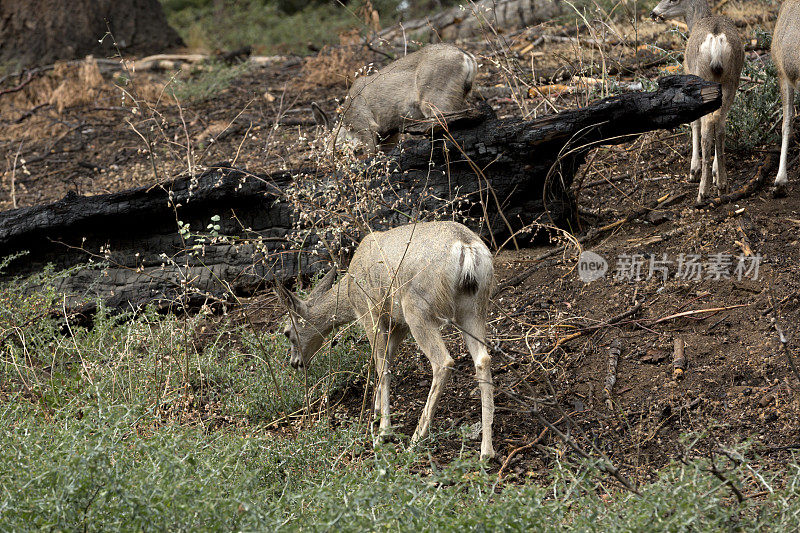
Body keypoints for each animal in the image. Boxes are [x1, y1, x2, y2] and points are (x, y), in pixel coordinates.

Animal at [278, 221, 496, 462]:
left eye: (287, 332)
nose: (295, 362)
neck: (349, 292)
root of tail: (467, 248)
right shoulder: (398, 323)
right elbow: (387, 360)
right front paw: (375, 411)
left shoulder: (370, 313)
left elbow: (381, 365)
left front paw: (383, 429)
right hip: (475, 306)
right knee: (483, 359)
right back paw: (486, 451)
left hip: (418, 309)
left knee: (443, 361)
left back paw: (416, 440)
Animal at [310, 43, 476, 154]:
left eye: (325, 144)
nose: (327, 158)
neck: (346, 124)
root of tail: (467, 57)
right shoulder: (389, 133)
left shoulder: (365, 125)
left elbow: (370, 155)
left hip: (436, 99)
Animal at [648, 0, 744, 203]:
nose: (653, 13)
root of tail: (716, 40)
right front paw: (715, 173)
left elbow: (694, 123)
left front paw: (694, 170)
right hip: (732, 80)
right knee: (720, 126)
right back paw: (721, 184)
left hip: (702, 78)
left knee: (707, 128)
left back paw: (702, 191)